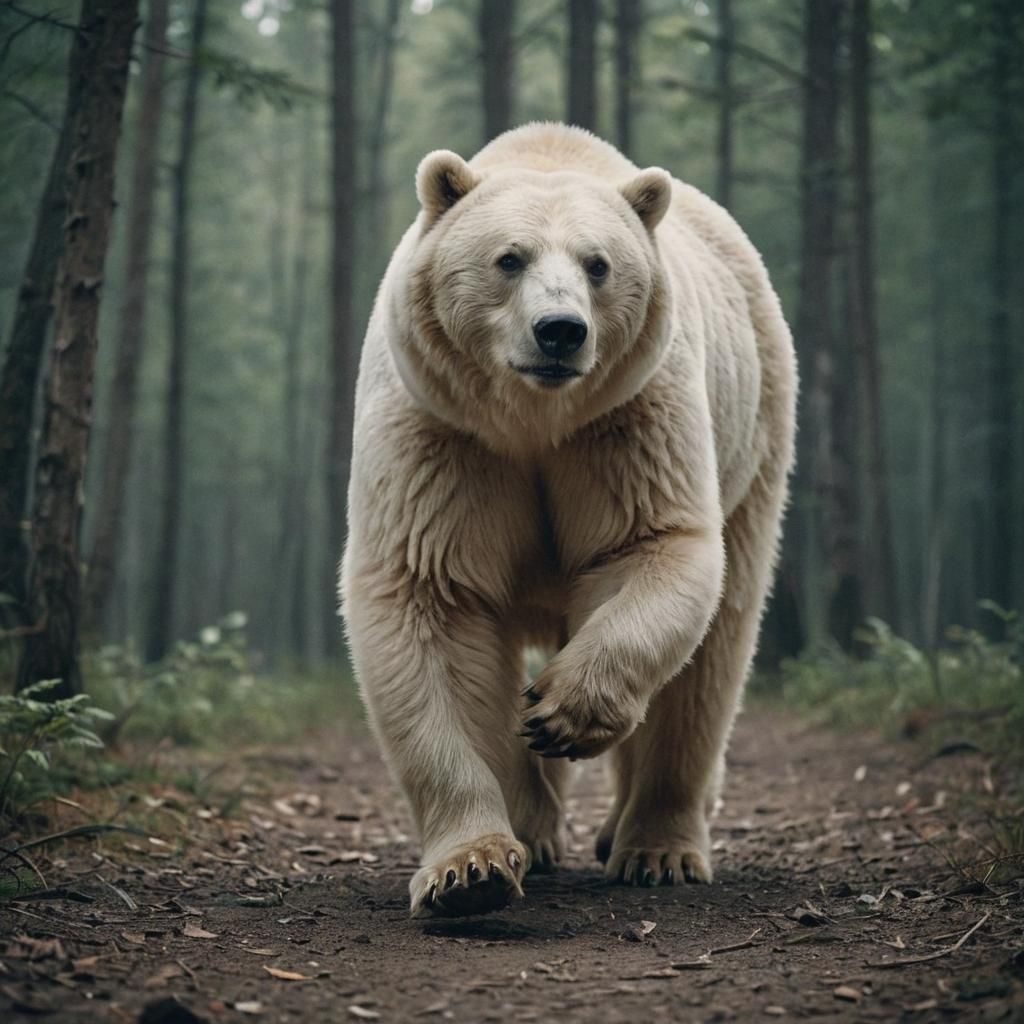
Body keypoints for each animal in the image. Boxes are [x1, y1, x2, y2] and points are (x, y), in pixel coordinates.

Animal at [341, 123, 796, 918]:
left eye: (598, 264)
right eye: (509, 258)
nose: (560, 332)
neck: (534, 421)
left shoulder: (625, 420)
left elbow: (652, 545)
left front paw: (563, 712)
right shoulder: (444, 433)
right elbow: (428, 596)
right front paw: (470, 871)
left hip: (756, 431)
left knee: (711, 662)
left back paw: (654, 846)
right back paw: (538, 827)